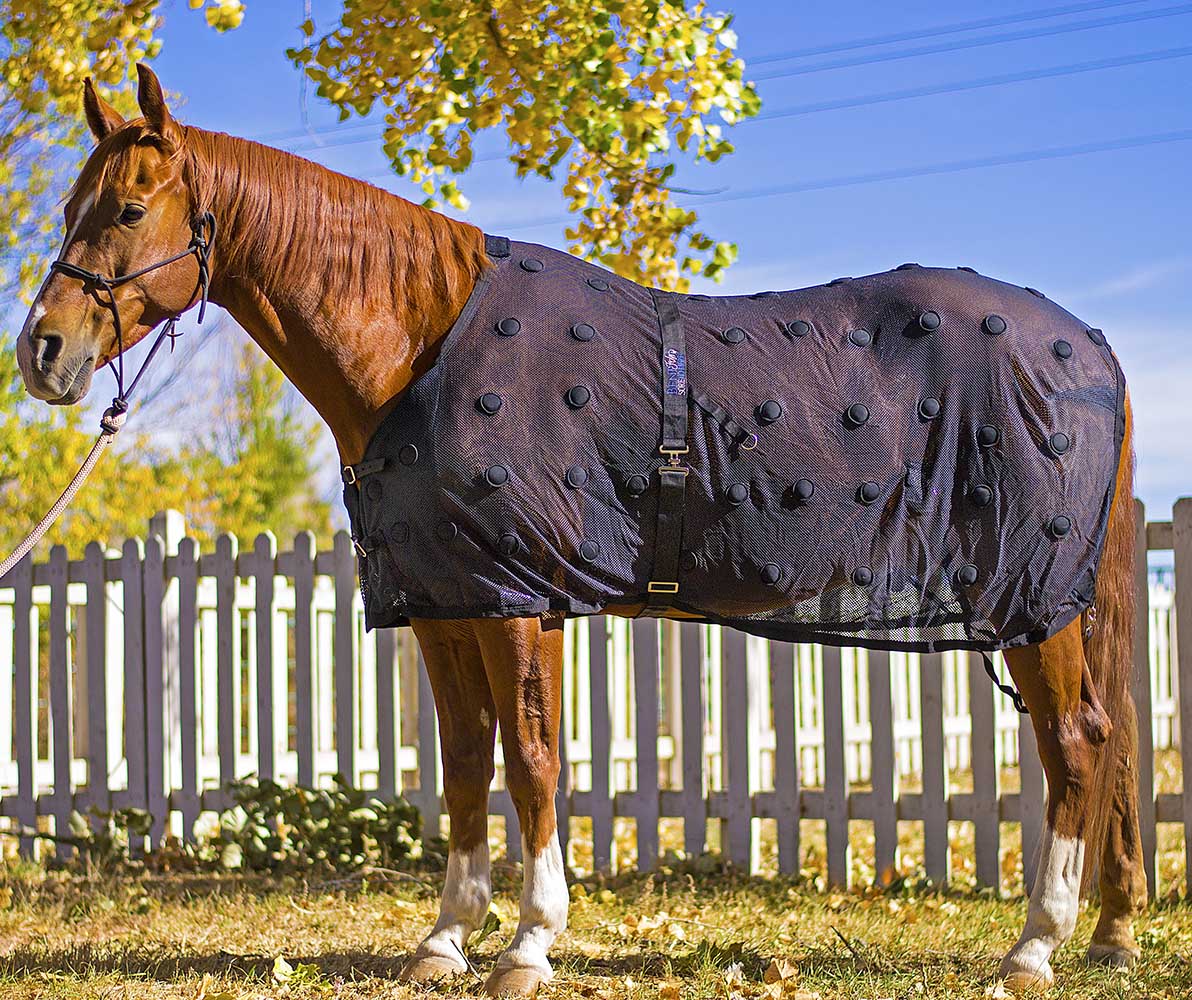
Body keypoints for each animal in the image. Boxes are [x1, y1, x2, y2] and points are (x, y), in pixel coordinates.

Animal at [14, 65, 1145, 997]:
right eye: (70, 206)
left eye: (127, 208)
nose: (42, 352)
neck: (423, 342)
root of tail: (1088, 345)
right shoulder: (446, 599)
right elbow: (464, 762)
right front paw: (443, 941)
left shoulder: (522, 598)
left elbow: (532, 759)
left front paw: (528, 944)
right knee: (1110, 742)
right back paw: (1107, 933)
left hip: (1032, 598)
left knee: (1076, 742)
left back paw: (1033, 950)